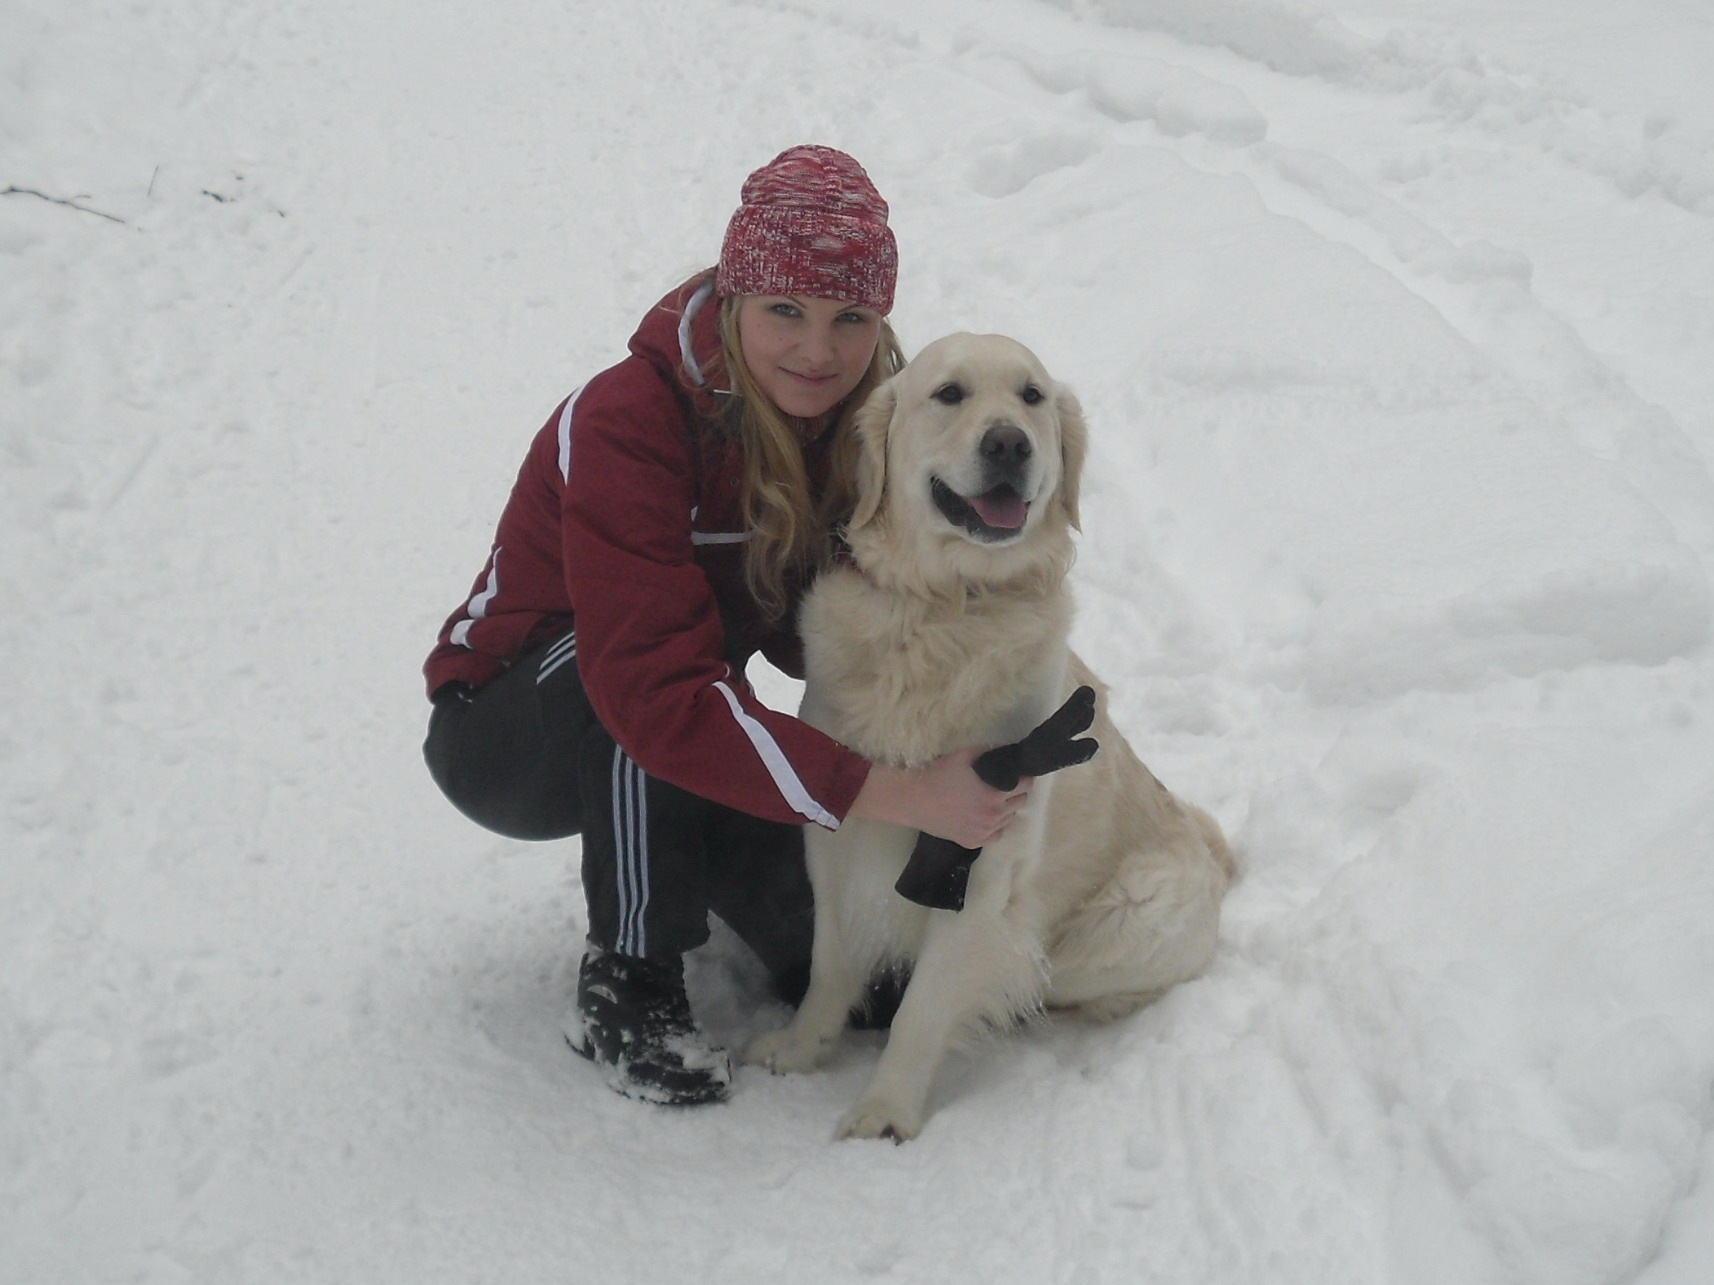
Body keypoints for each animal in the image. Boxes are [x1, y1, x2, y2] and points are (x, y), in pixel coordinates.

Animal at [743, 333, 1235, 1141]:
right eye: (949, 393)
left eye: (1031, 396)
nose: (1008, 442)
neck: (947, 611)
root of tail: (1218, 860)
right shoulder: (838, 837)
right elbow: (829, 961)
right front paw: (802, 1047)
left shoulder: (982, 871)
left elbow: (920, 1011)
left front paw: (884, 1113)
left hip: (1112, 926)